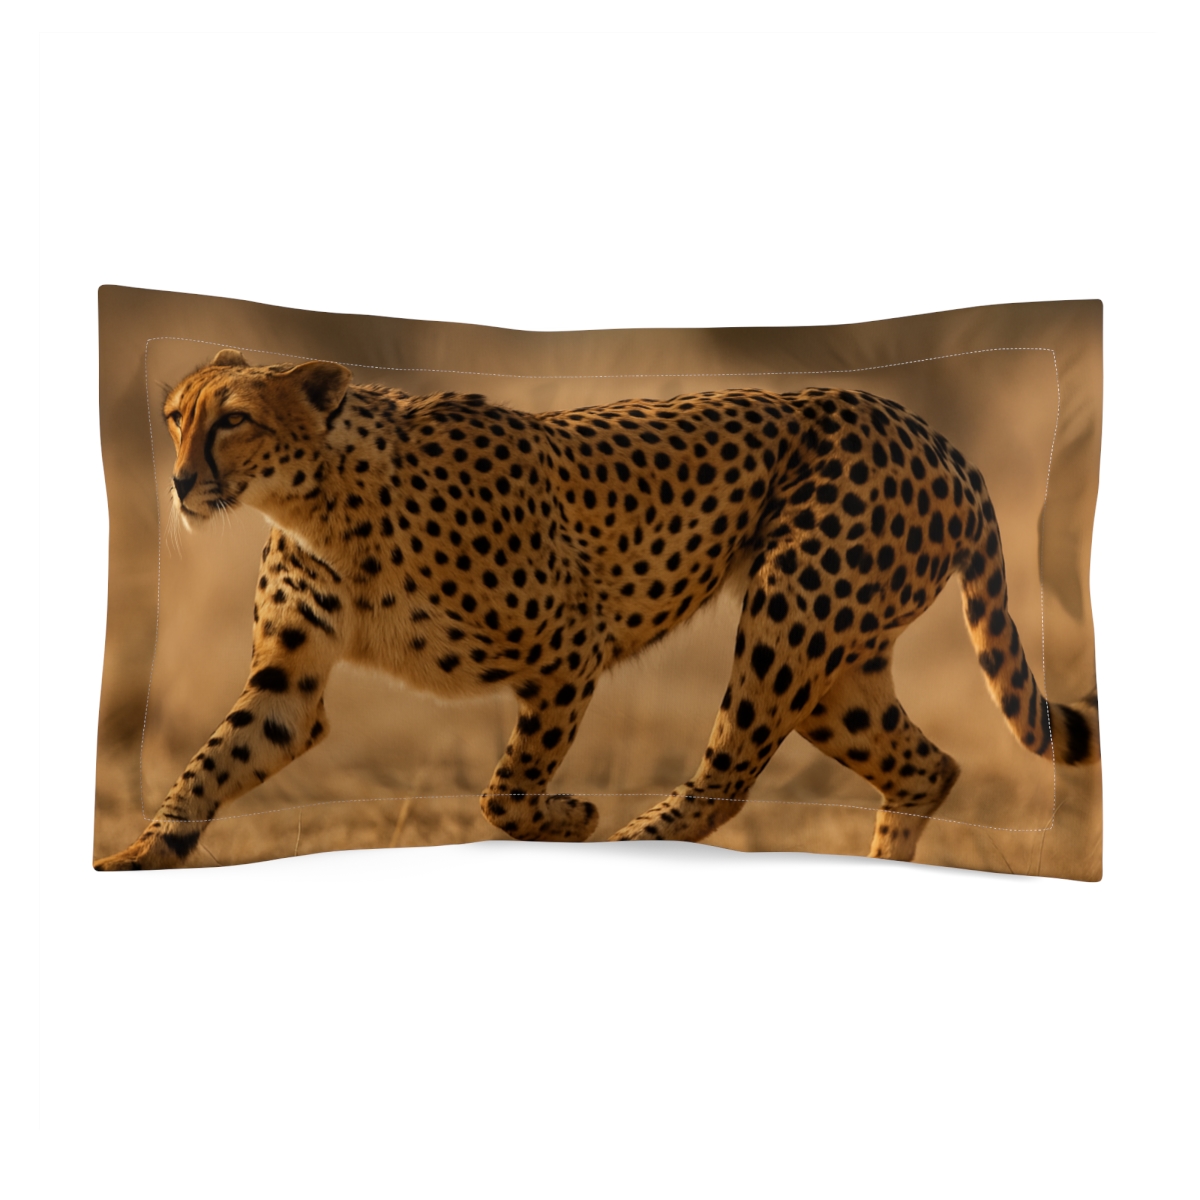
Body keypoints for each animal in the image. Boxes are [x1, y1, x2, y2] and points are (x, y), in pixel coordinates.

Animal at [94, 348, 1100, 869]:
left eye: (233, 419)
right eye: (176, 416)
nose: (178, 482)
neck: (319, 501)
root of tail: (938, 438)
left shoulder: (571, 643)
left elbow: (506, 789)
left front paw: (568, 818)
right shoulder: (291, 684)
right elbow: (210, 764)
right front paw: (138, 855)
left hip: (789, 616)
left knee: (729, 779)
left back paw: (628, 840)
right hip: (836, 667)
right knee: (929, 766)